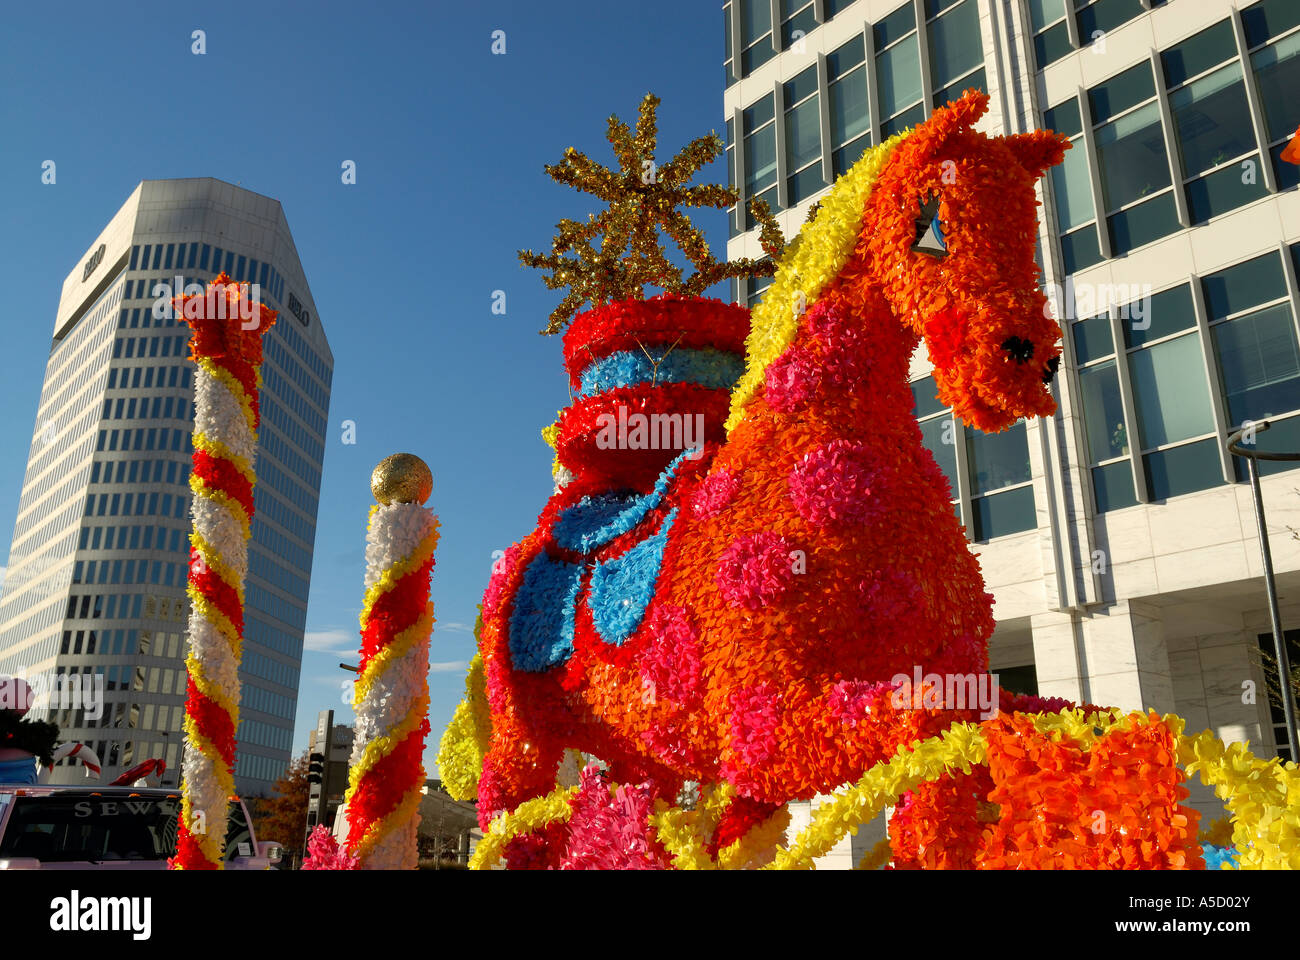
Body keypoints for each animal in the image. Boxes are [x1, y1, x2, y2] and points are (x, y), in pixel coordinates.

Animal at [478, 93, 1076, 863]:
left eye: (1029, 224)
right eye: (931, 223)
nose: (1024, 360)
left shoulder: (965, 669)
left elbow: (1015, 736)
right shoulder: (760, 726)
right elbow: (927, 728)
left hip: (637, 753)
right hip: (523, 745)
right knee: (506, 823)